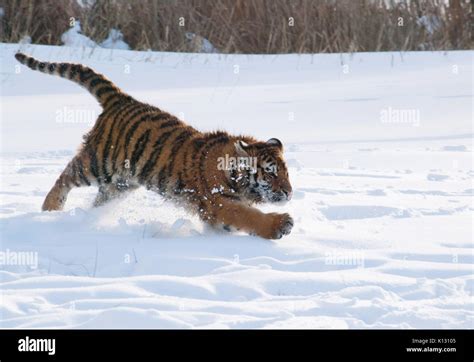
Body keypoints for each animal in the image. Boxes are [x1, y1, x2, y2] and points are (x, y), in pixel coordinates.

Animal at [14, 52, 294, 239]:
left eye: (286, 172)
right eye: (270, 173)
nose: (290, 192)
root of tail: (121, 98)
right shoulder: (219, 203)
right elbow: (249, 216)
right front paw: (281, 225)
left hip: (121, 183)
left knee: (98, 199)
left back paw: (88, 220)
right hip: (97, 163)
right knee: (66, 176)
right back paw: (50, 208)